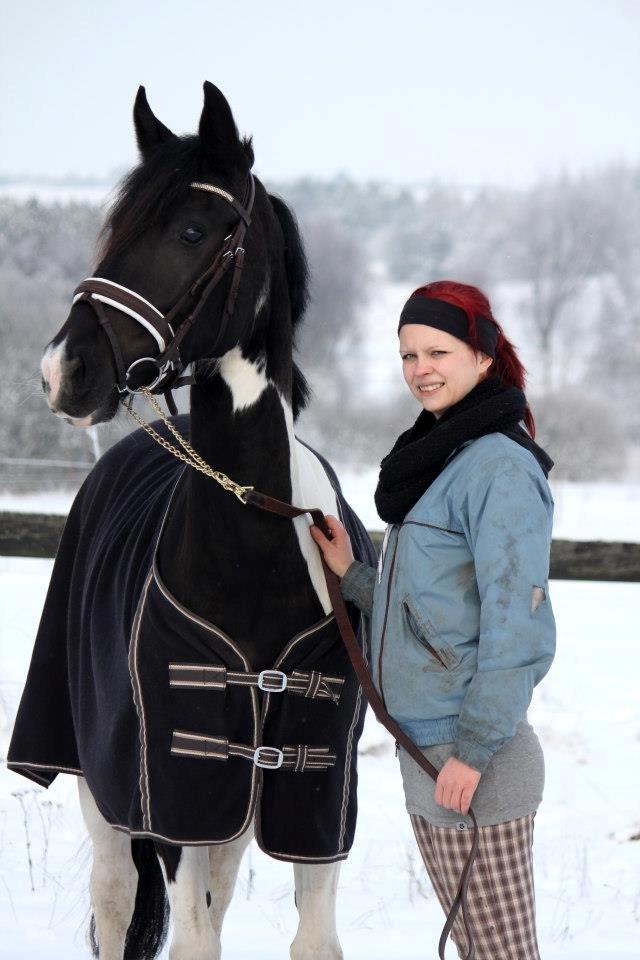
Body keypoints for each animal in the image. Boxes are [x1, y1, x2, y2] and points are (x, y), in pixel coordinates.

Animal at [8, 82, 375, 960]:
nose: (63, 371)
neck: (256, 547)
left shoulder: (311, 799)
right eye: (114, 229)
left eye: (191, 231)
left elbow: (313, 939)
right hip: (107, 790)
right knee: (115, 906)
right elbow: (193, 939)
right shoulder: (177, 786)